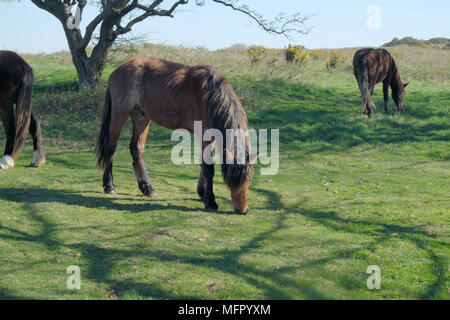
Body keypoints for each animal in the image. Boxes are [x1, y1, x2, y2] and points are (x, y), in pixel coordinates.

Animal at [95, 57, 256, 215]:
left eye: (249, 178)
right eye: (230, 180)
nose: (243, 210)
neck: (210, 95)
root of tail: (119, 69)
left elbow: (202, 163)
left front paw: (201, 192)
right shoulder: (204, 135)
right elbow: (208, 167)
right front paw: (210, 202)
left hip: (141, 116)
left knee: (136, 149)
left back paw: (147, 188)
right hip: (120, 113)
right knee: (111, 147)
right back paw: (109, 186)